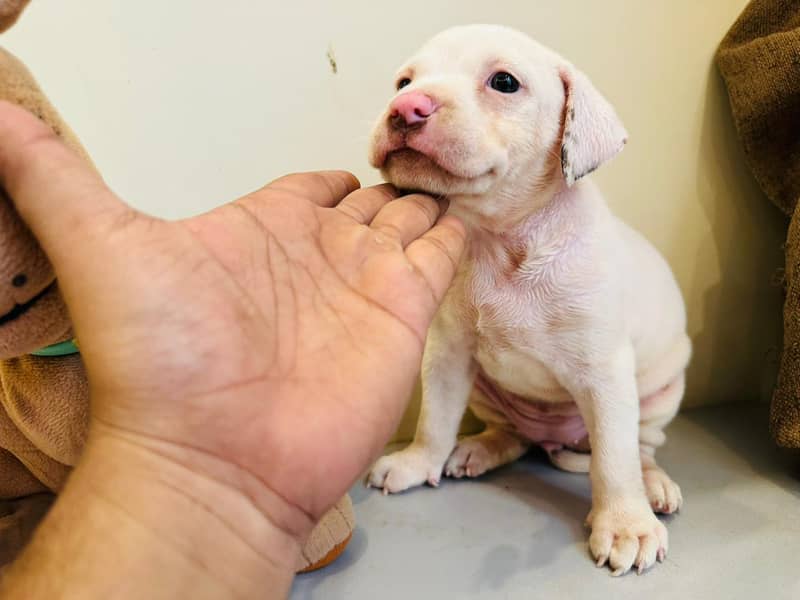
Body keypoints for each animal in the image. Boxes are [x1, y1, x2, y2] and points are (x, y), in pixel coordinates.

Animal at [366, 24, 692, 576]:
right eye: (403, 82)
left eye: (504, 82)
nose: (405, 107)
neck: (500, 237)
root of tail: (555, 438)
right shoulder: (447, 354)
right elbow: (436, 418)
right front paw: (417, 461)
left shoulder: (605, 373)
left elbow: (615, 457)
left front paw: (626, 525)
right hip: (487, 394)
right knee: (513, 433)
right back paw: (481, 448)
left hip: (660, 397)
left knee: (641, 447)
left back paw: (654, 486)